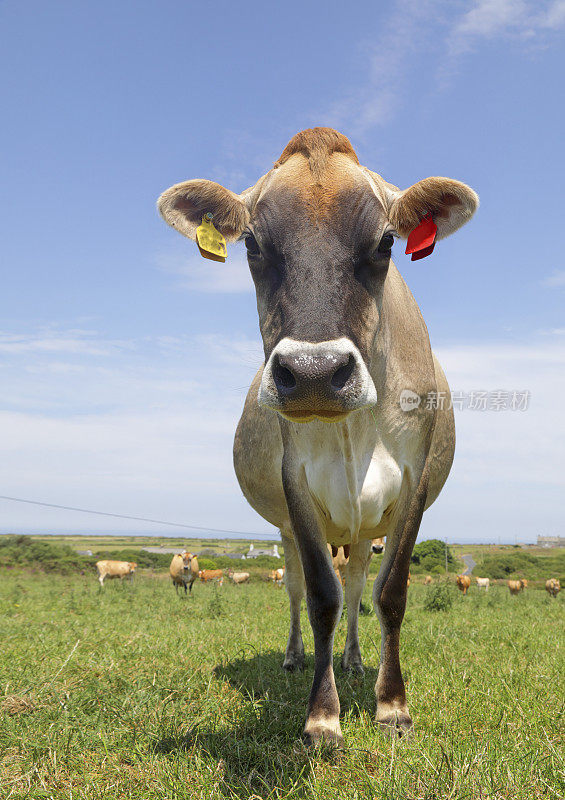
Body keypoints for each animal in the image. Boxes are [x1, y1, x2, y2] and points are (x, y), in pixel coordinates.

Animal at [158, 125, 476, 744]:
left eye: (385, 242)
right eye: (252, 245)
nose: (312, 373)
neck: (355, 431)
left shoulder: (415, 483)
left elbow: (389, 594)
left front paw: (392, 706)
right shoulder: (296, 484)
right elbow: (321, 598)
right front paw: (322, 717)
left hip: (362, 530)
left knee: (357, 586)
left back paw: (353, 659)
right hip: (287, 529)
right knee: (299, 589)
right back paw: (295, 655)